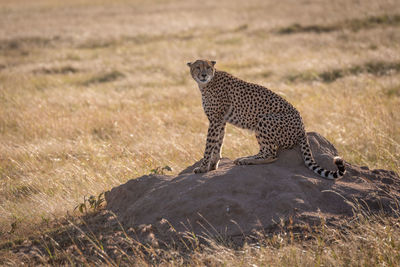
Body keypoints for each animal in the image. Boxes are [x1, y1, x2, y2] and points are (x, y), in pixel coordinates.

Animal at [189, 59, 346, 180]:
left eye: (208, 67)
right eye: (198, 67)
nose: (204, 75)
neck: (207, 83)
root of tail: (303, 129)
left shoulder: (215, 120)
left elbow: (209, 145)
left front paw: (202, 167)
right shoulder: (220, 121)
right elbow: (218, 144)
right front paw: (212, 165)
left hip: (264, 119)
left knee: (271, 154)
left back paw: (247, 160)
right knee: (264, 150)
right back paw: (245, 158)